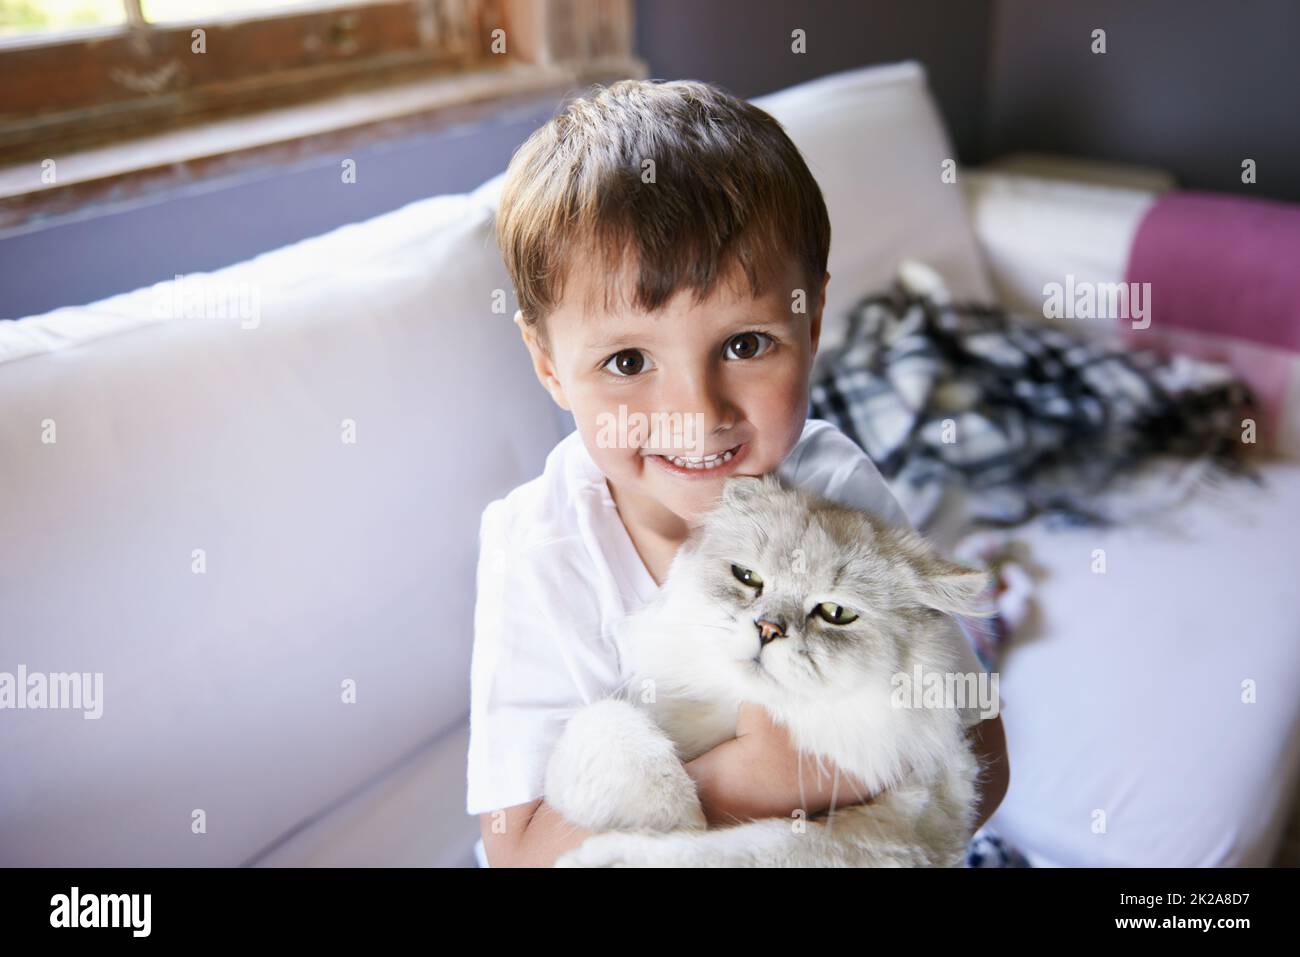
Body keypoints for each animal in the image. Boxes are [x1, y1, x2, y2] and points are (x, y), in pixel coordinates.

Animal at [543, 473, 987, 868]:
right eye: (747, 577)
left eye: (837, 613)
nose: (768, 629)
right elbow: (608, 722)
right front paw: (671, 813)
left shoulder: (910, 823)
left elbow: (747, 849)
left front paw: (622, 850)